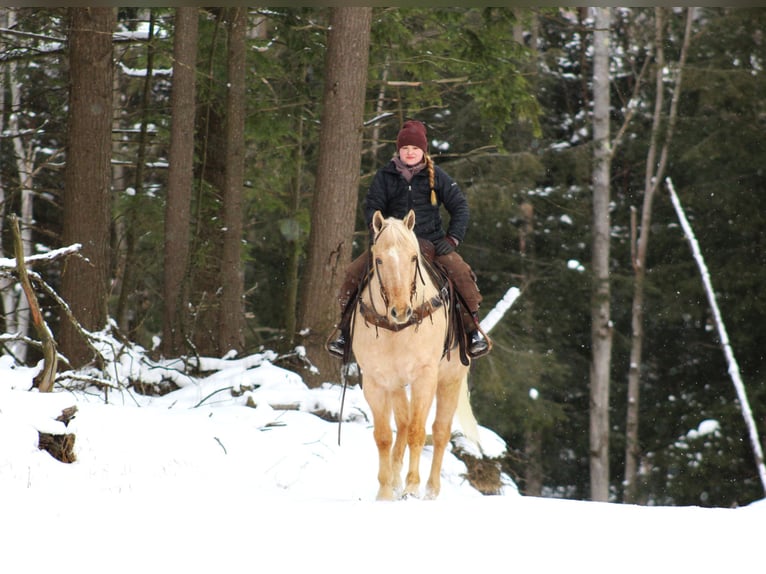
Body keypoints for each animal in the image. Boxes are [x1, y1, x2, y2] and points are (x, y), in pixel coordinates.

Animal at [352, 209, 476, 502]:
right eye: (379, 259)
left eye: (412, 257)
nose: (401, 311)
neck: (396, 329)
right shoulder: (376, 382)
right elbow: (384, 436)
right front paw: (386, 491)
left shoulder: (424, 379)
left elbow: (419, 432)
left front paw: (411, 487)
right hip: (398, 385)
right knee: (403, 424)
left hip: (450, 380)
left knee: (440, 431)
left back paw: (431, 490)